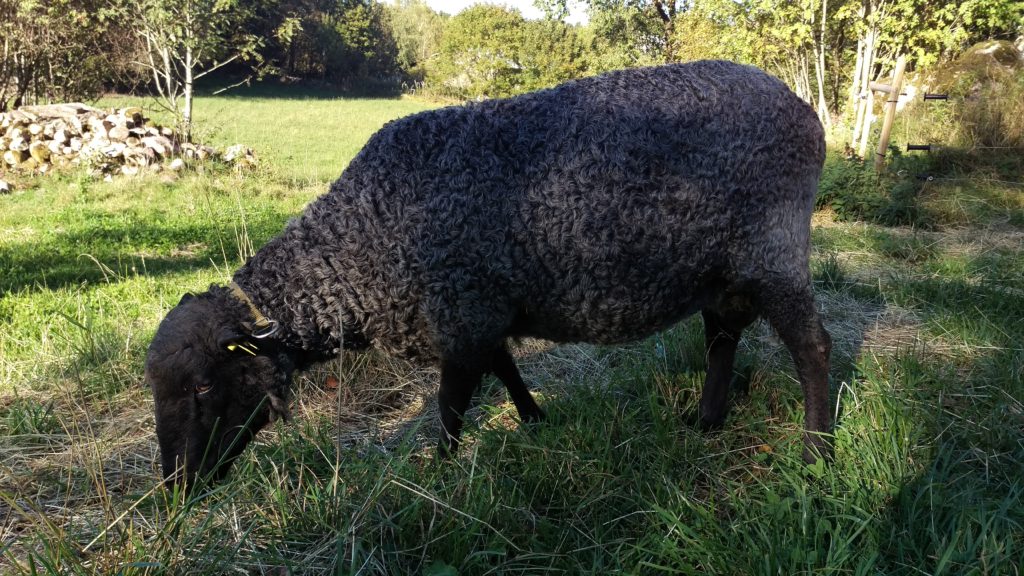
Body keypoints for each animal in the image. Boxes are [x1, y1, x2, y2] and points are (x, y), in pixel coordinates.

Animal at [144, 60, 831, 485]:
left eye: (202, 387)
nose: (177, 487)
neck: (365, 236)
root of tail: (807, 113)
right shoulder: (481, 311)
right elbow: (505, 368)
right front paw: (535, 421)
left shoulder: (463, 315)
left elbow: (450, 405)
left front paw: (442, 471)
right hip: (723, 270)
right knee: (722, 338)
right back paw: (707, 421)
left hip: (773, 252)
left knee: (812, 348)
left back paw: (816, 451)